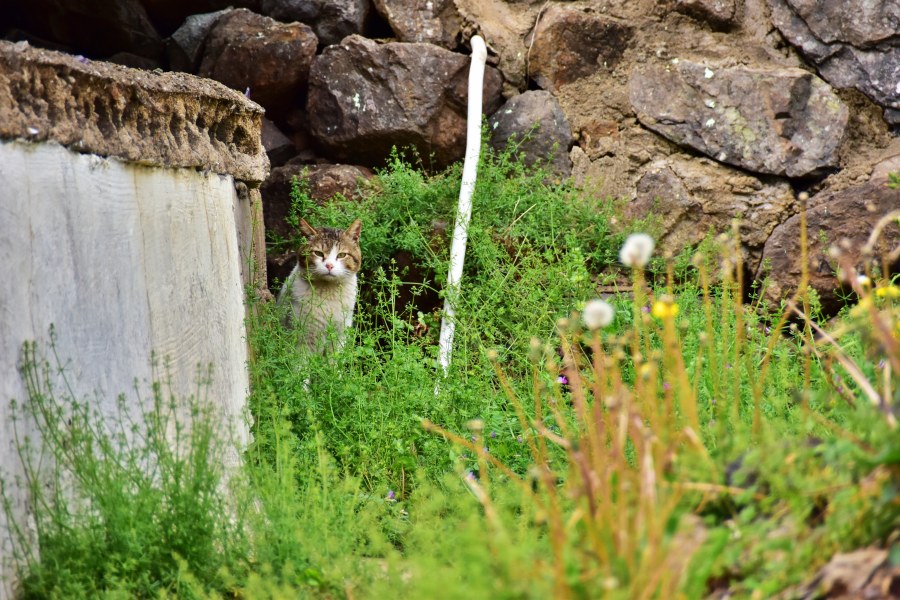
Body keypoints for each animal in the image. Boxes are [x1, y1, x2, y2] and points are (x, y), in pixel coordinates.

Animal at [280, 218, 364, 354]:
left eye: (342, 255)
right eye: (318, 253)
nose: (329, 265)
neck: (328, 292)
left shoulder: (340, 334)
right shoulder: (305, 336)